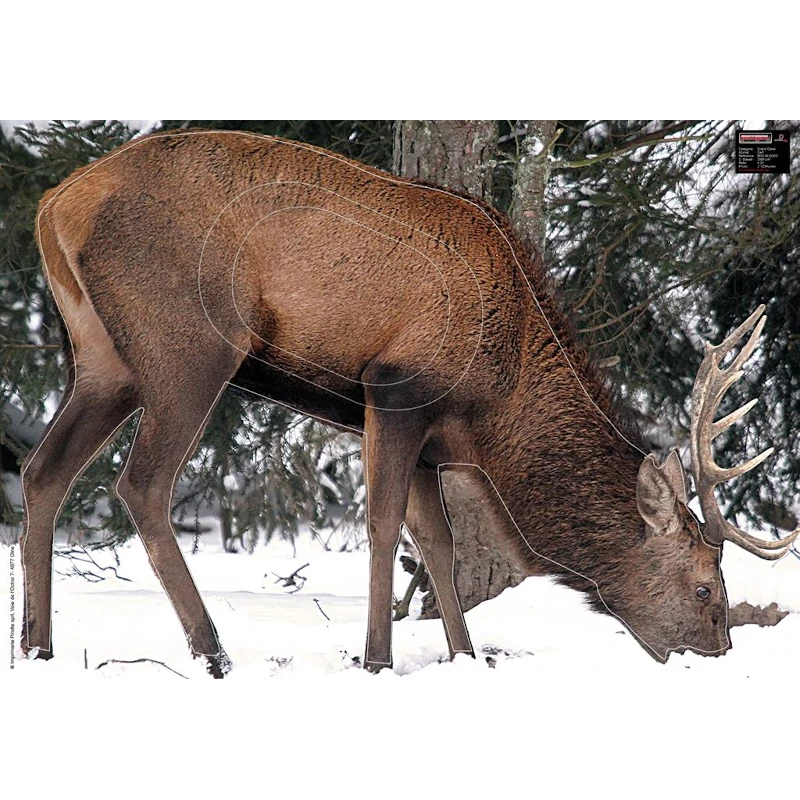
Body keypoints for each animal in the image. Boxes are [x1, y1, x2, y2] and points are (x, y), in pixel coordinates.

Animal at [20, 129, 799, 678]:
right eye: (706, 588)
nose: (718, 655)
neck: (497, 404)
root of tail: (53, 205)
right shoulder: (397, 389)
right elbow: (385, 525)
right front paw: (377, 657)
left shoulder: (432, 442)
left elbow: (438, 543)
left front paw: (465, 654)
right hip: (189, 345)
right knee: (141, 483)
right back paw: (212, 650)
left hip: (103, 361)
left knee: (43, 472)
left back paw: (36, 645)